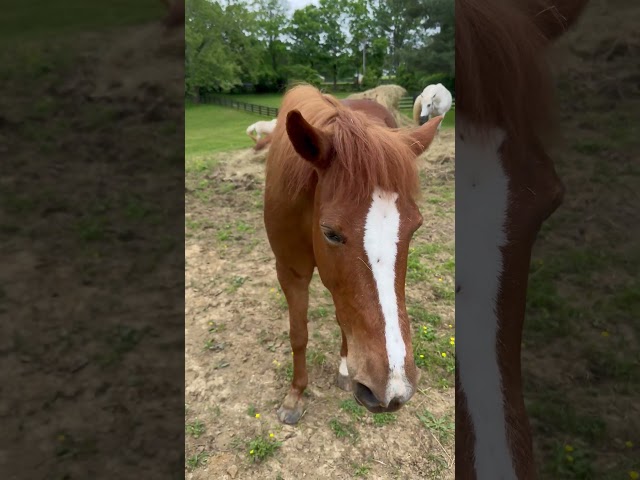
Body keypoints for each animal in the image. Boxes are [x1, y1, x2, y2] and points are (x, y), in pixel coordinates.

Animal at [263, 84, 442, 424]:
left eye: (416, 227)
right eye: (331, 233)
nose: (392, 392)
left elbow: (343, 317)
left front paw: (346, 368)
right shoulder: (289, 272)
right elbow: (298, 334)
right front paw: (295, 395)